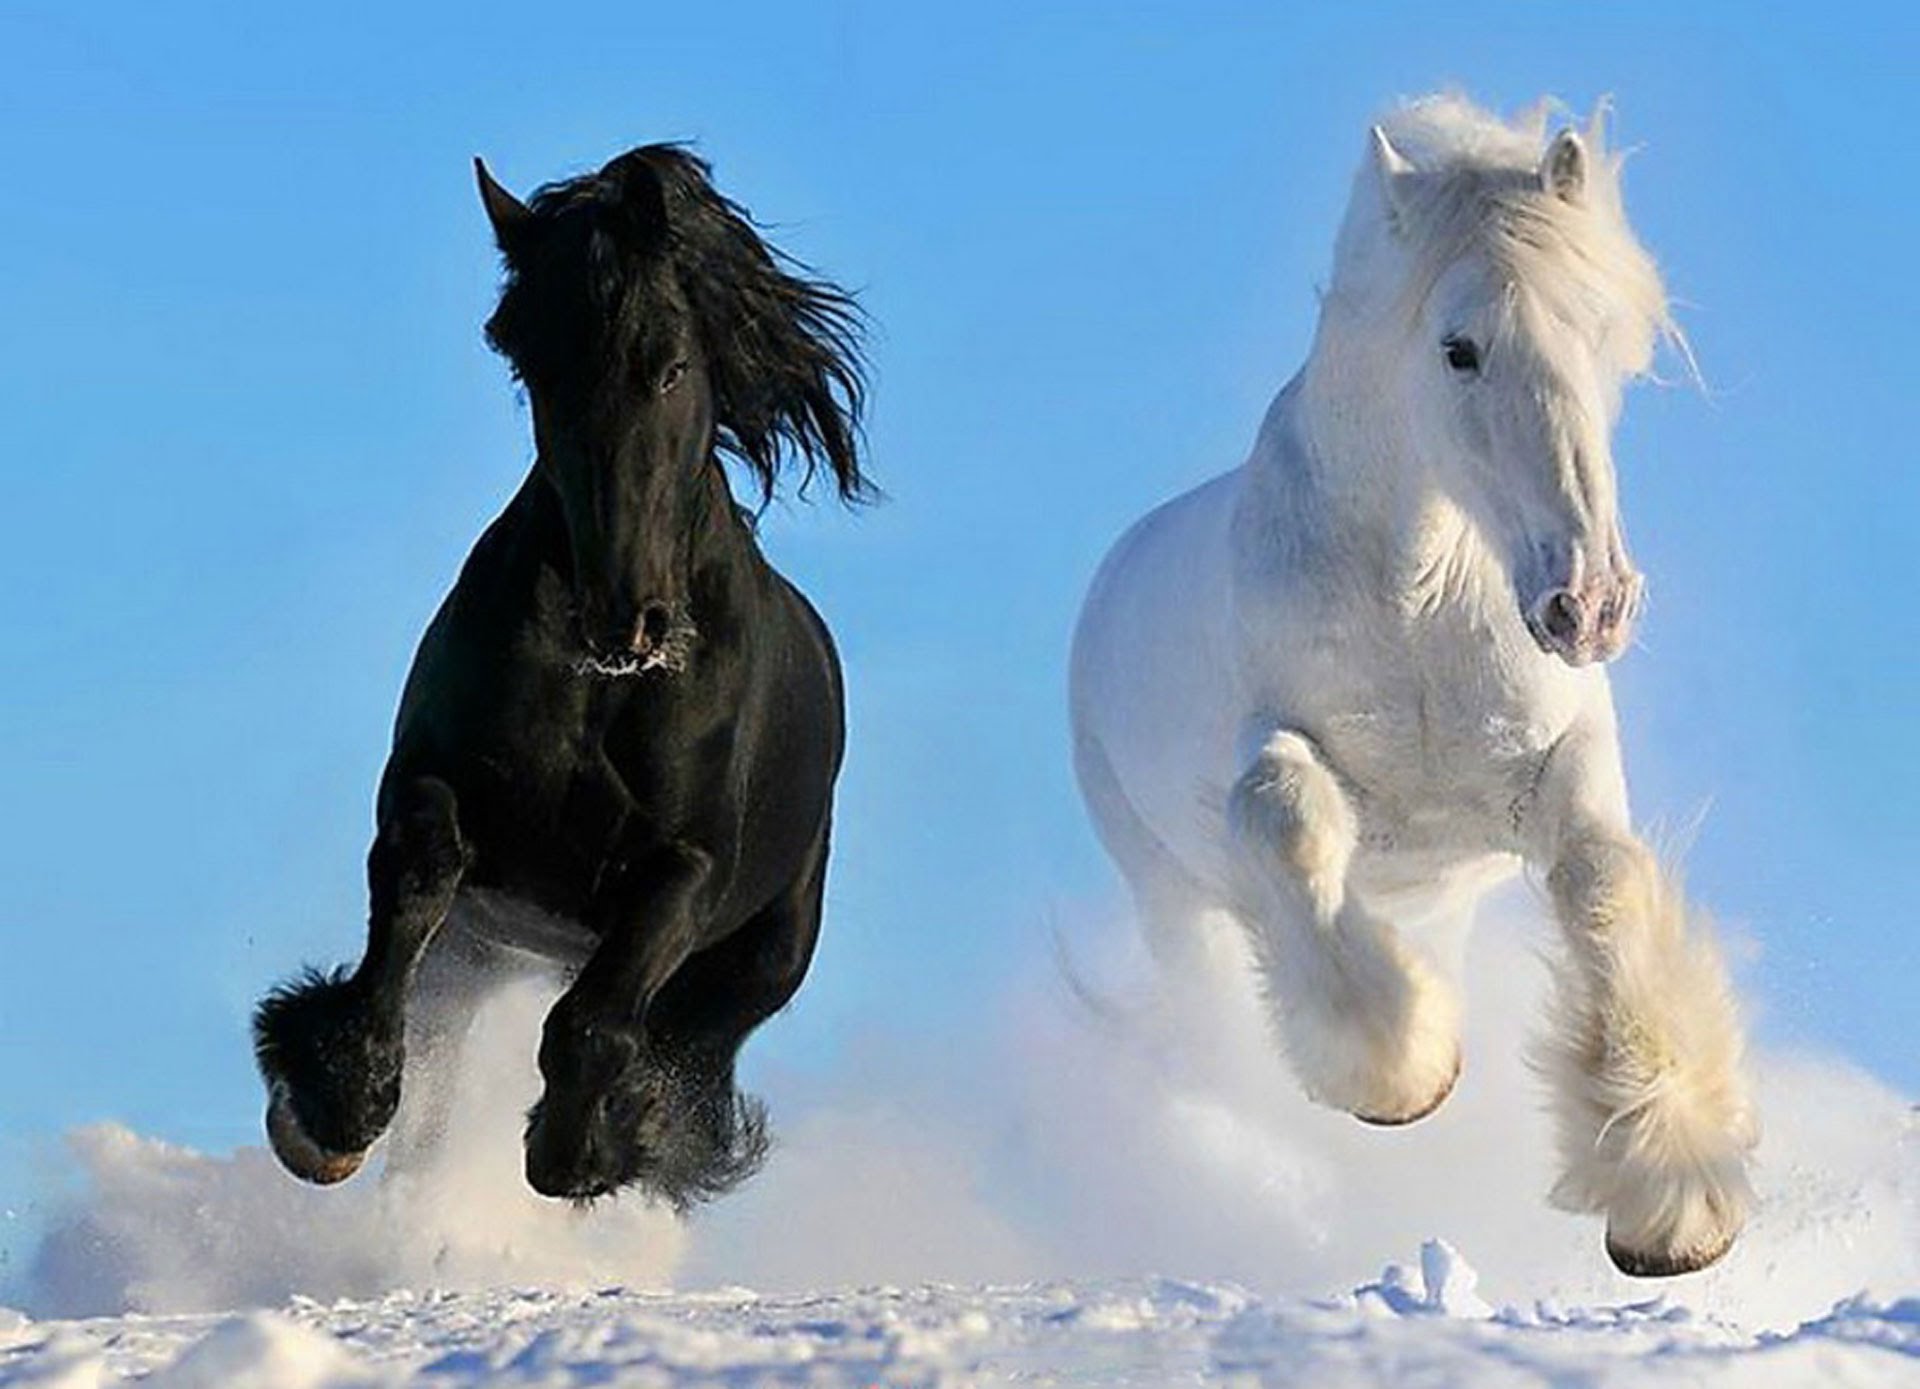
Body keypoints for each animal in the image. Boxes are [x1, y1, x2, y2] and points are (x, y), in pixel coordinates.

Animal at [252, 144, 869, 1207]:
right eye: (534, 367)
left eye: (669, 364)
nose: (626, 618)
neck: (606, 686)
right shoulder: (434, 783)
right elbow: (413, 888)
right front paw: (331, 1108)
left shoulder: (685, 867)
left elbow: (595, 1020)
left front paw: (584, 1145)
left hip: (763, 955)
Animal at [1068, 95, 1755, 1277]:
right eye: (1459, 348)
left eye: (1603, 336)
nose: (1589, 603)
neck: (1422, 604)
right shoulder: (1278, 749)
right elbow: (1287, 817)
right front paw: (1402, 1075)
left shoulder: (1560, 774)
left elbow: (1603, 884)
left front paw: (1669, 1202)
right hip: (1169, 896)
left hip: (1440, 902)